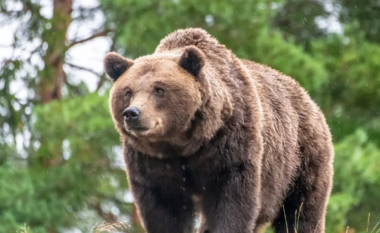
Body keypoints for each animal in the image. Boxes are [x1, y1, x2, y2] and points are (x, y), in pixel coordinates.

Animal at [104, 27, 332, 233]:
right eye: (128, 92)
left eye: (159, 89)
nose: (132, 113)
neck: (183, 144)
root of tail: (307, 97)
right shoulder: (151, 162)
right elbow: (164, 208)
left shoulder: (230, 143)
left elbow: (232, 201)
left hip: (300, 159)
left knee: (301, 210)